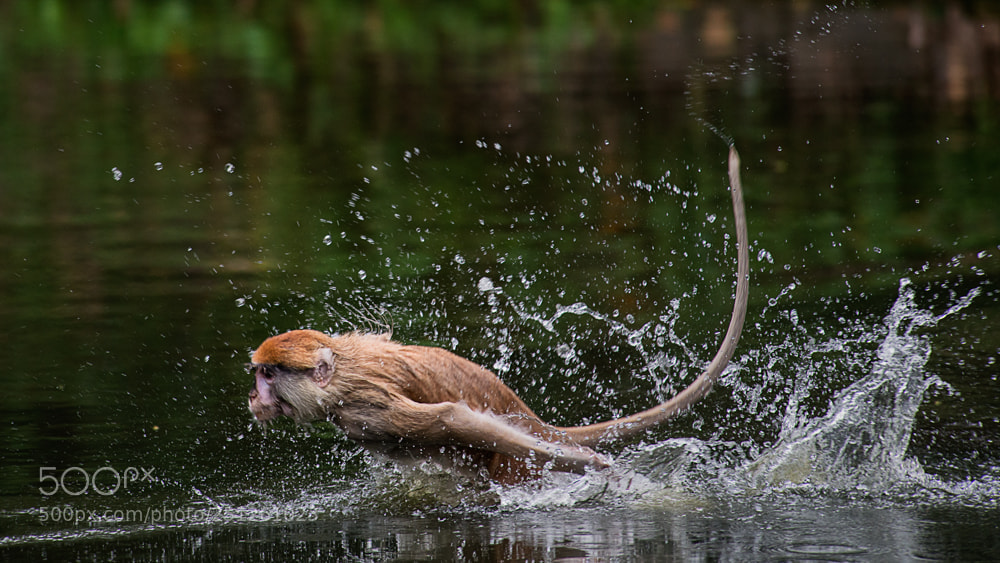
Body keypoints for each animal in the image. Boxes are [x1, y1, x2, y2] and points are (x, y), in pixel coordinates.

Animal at [247, 146, 749, 484]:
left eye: (268, 374)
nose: (254, 395)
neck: (340, 371)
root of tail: (526, 413)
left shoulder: (367, 408)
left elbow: (451, 417)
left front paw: (594, 465)